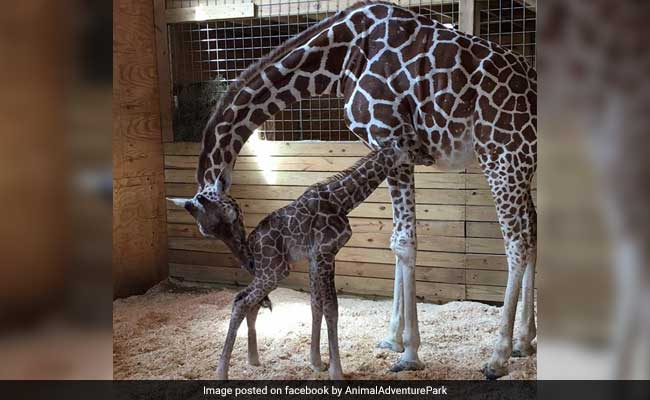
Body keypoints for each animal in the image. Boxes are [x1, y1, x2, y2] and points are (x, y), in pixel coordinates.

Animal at [171, 143, 411, 380]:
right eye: (410, 146)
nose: (415, 160)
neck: (342, 201)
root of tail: (252, 245)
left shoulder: (316, 258)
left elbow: (316, 304)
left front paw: (317, 363)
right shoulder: (325, 253)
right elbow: (331, 307)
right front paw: (337, 372)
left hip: (269, 271)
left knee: (248, 300)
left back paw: (253, 359)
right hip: (275, 271)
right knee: (242, 301)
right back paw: (222, 373)